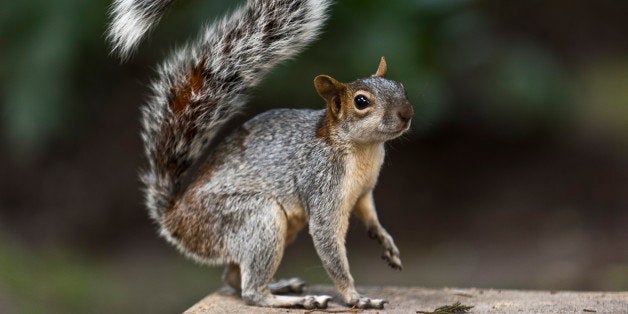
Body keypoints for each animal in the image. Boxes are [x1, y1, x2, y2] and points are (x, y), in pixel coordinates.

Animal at [108, 0, 412, 310]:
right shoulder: (322, 183)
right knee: (250, 292)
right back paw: (293, 299)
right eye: (361, 101)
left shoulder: (363, 190)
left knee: (232, 278)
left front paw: (384, 240)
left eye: (400, 86)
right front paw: (356, 298)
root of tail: (175, 218)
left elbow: (369, 212)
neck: (363, 149)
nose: (406, 113)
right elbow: (330, 247)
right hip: (256, 218)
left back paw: (281, 285)